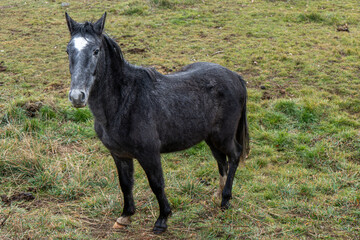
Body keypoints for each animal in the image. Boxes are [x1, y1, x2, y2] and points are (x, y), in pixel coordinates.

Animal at [64, 12, 249, 233]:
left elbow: (157, 184)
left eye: (95, 51)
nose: (77, 97)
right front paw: (125, 216)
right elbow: (125, 184)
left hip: (224, 136)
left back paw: (226, 200)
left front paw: (162, 219)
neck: (125, 102)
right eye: (68, 50)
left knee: (234, 155)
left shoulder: (149, 153)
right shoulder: (119, 154)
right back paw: (217, 194)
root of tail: (236, 77)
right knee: (221, 160)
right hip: (211, 137)